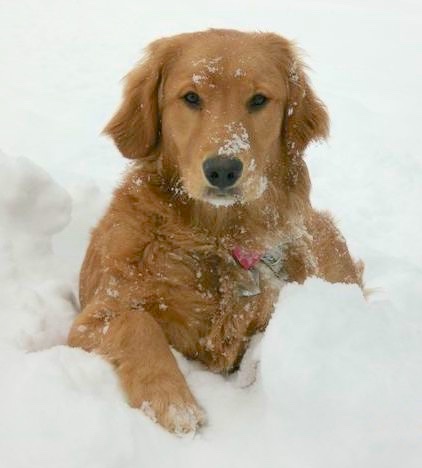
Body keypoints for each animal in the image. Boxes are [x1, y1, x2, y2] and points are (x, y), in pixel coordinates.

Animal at [68, 29, 362, 436]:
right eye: (191, 97)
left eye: (258, 100)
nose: (223, 169)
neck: (216, 240)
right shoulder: (94, 316)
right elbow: (139, 325)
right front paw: (175, 404)